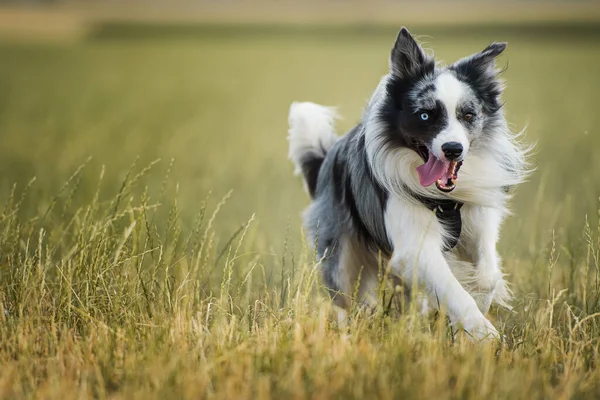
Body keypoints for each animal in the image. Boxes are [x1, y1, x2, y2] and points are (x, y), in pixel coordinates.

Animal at [288, 28, 528, 340]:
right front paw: (483, 334)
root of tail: (327, 158)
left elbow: (488, 276)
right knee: (347, 302)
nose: (453, 149)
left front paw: (468, 320)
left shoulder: (480, 223)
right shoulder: (414, 246)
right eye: (425, 115)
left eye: (468, 116)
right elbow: (453, 290)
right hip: (341, 256)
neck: (445, 199)